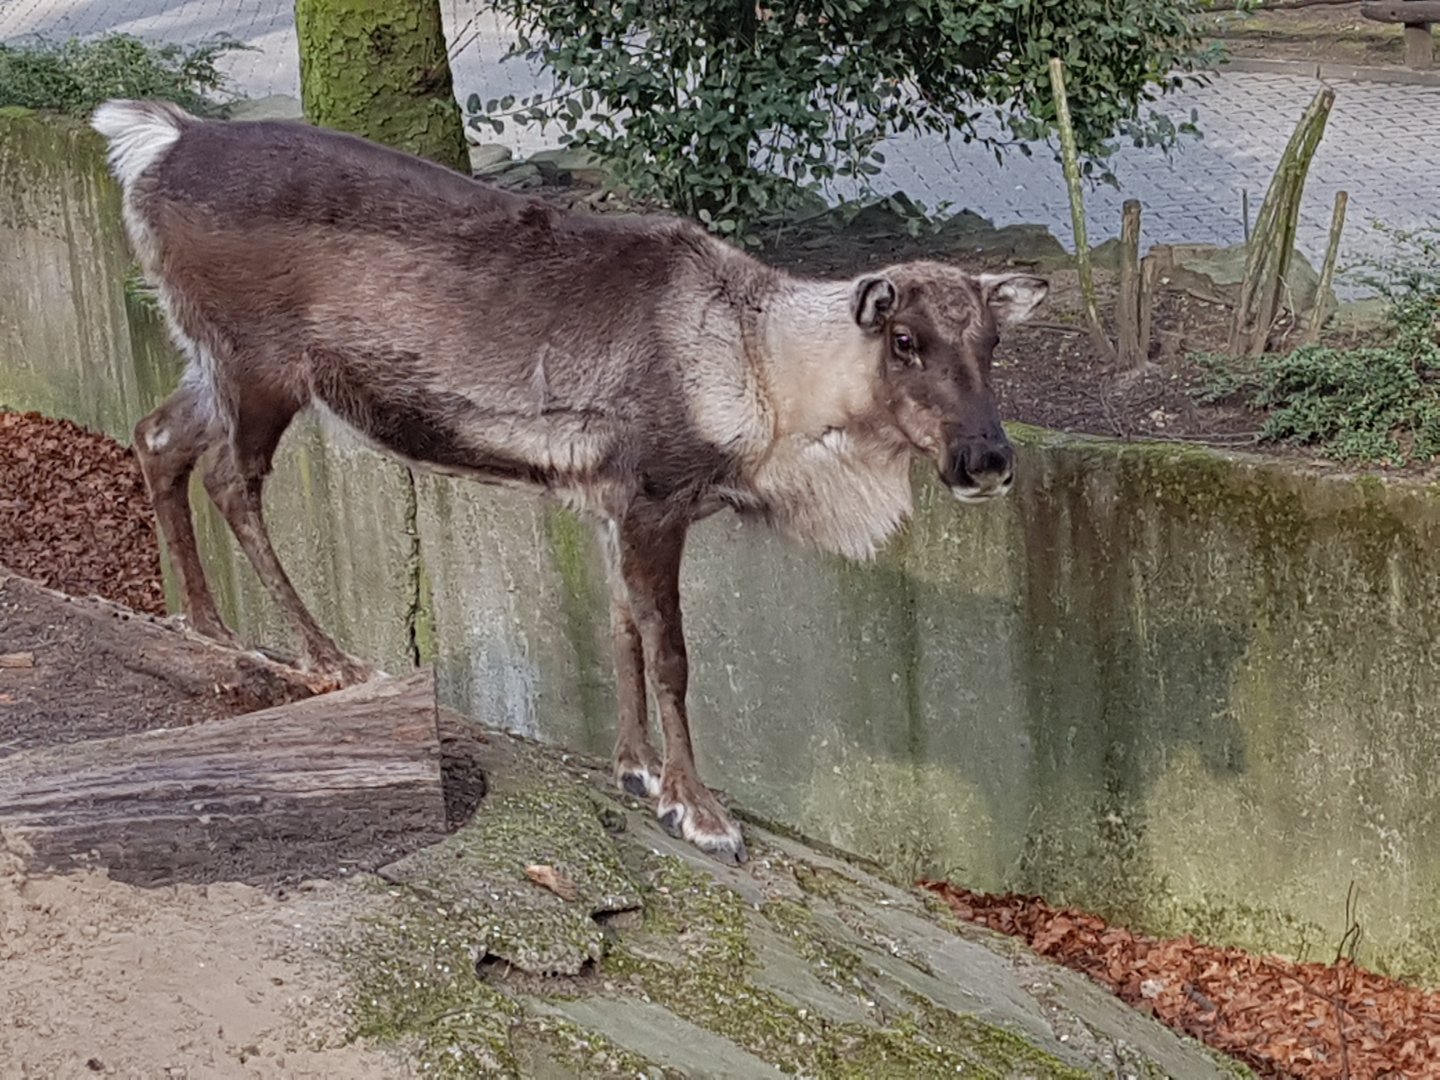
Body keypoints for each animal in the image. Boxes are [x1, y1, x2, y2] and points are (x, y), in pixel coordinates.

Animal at [91, 99, 1047, 865]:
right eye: (905, 340)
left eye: (993, 341)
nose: (988, 461)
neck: (767, 384)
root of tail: (159, 140)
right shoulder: (658, 494)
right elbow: (672, 656)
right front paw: (701, 812)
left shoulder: (609, 501)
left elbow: (620, 631)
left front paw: (634, 771)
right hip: (261, 365)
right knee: (230, 479)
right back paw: (327, 658)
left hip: (210, 362)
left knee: (157, 436)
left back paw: (211, 627)